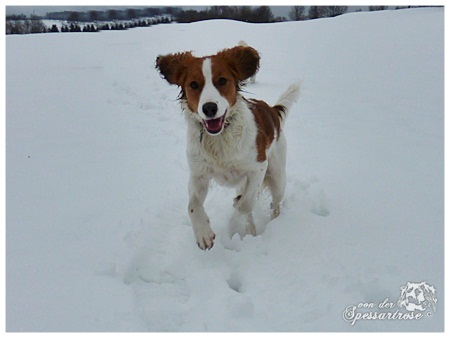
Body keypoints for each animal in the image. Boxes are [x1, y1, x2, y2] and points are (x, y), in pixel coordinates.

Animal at [156, 46, 300, 250]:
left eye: (222, 80)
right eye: (194, 84)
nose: (209, 108)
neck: (219, 137)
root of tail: (272, 110)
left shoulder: (258, 167)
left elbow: (246, 203)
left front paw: (236, 209)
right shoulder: (199, 175)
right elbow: (192, 206)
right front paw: (203, 234)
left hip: (277, 176)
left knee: (275, 203)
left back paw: (274, 221)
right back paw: (250, 230)